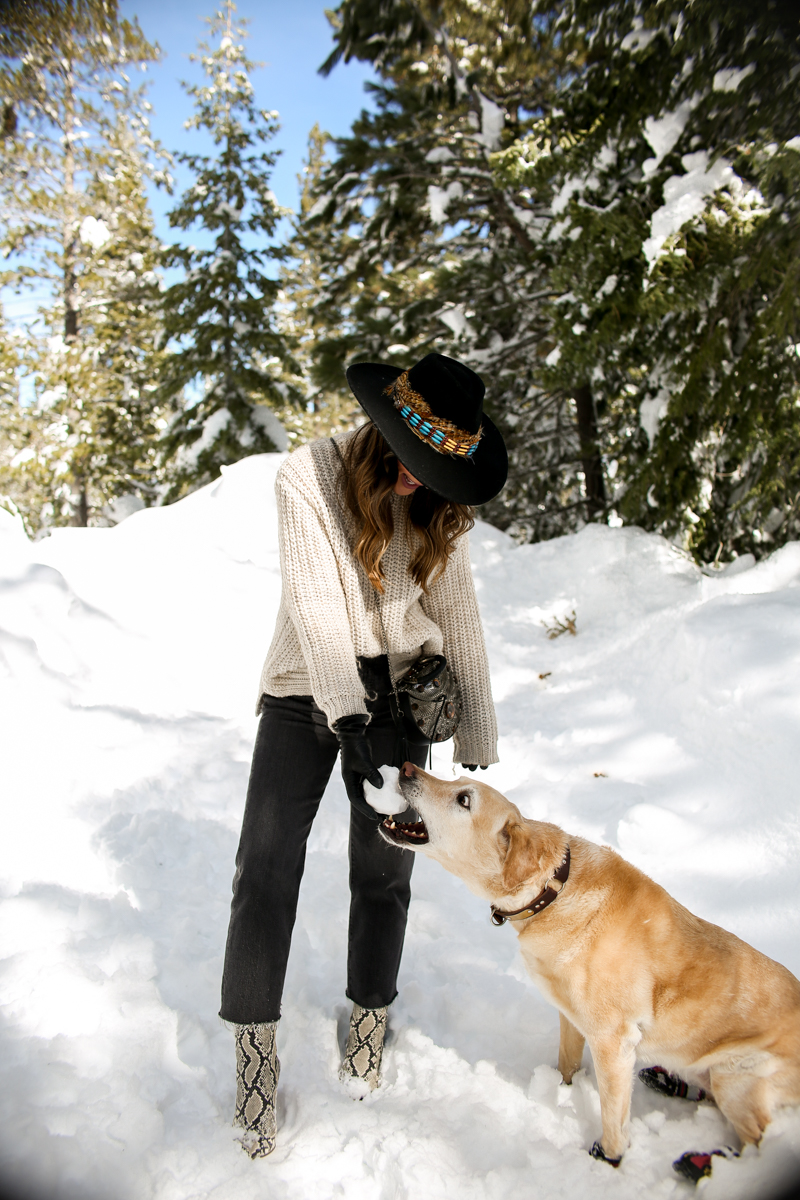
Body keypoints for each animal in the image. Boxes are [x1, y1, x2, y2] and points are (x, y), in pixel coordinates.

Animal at [381, 763, 800, 1166]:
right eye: (456, 783)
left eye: (464, 799)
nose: (406, 767)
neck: (554, 891)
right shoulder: (571, 1017)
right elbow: (567, 1063)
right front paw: (561, 1091)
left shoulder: (613, 1041)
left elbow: (614, 1114)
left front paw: (609, 1156)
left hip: (737, 1076)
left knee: (759, 1138)